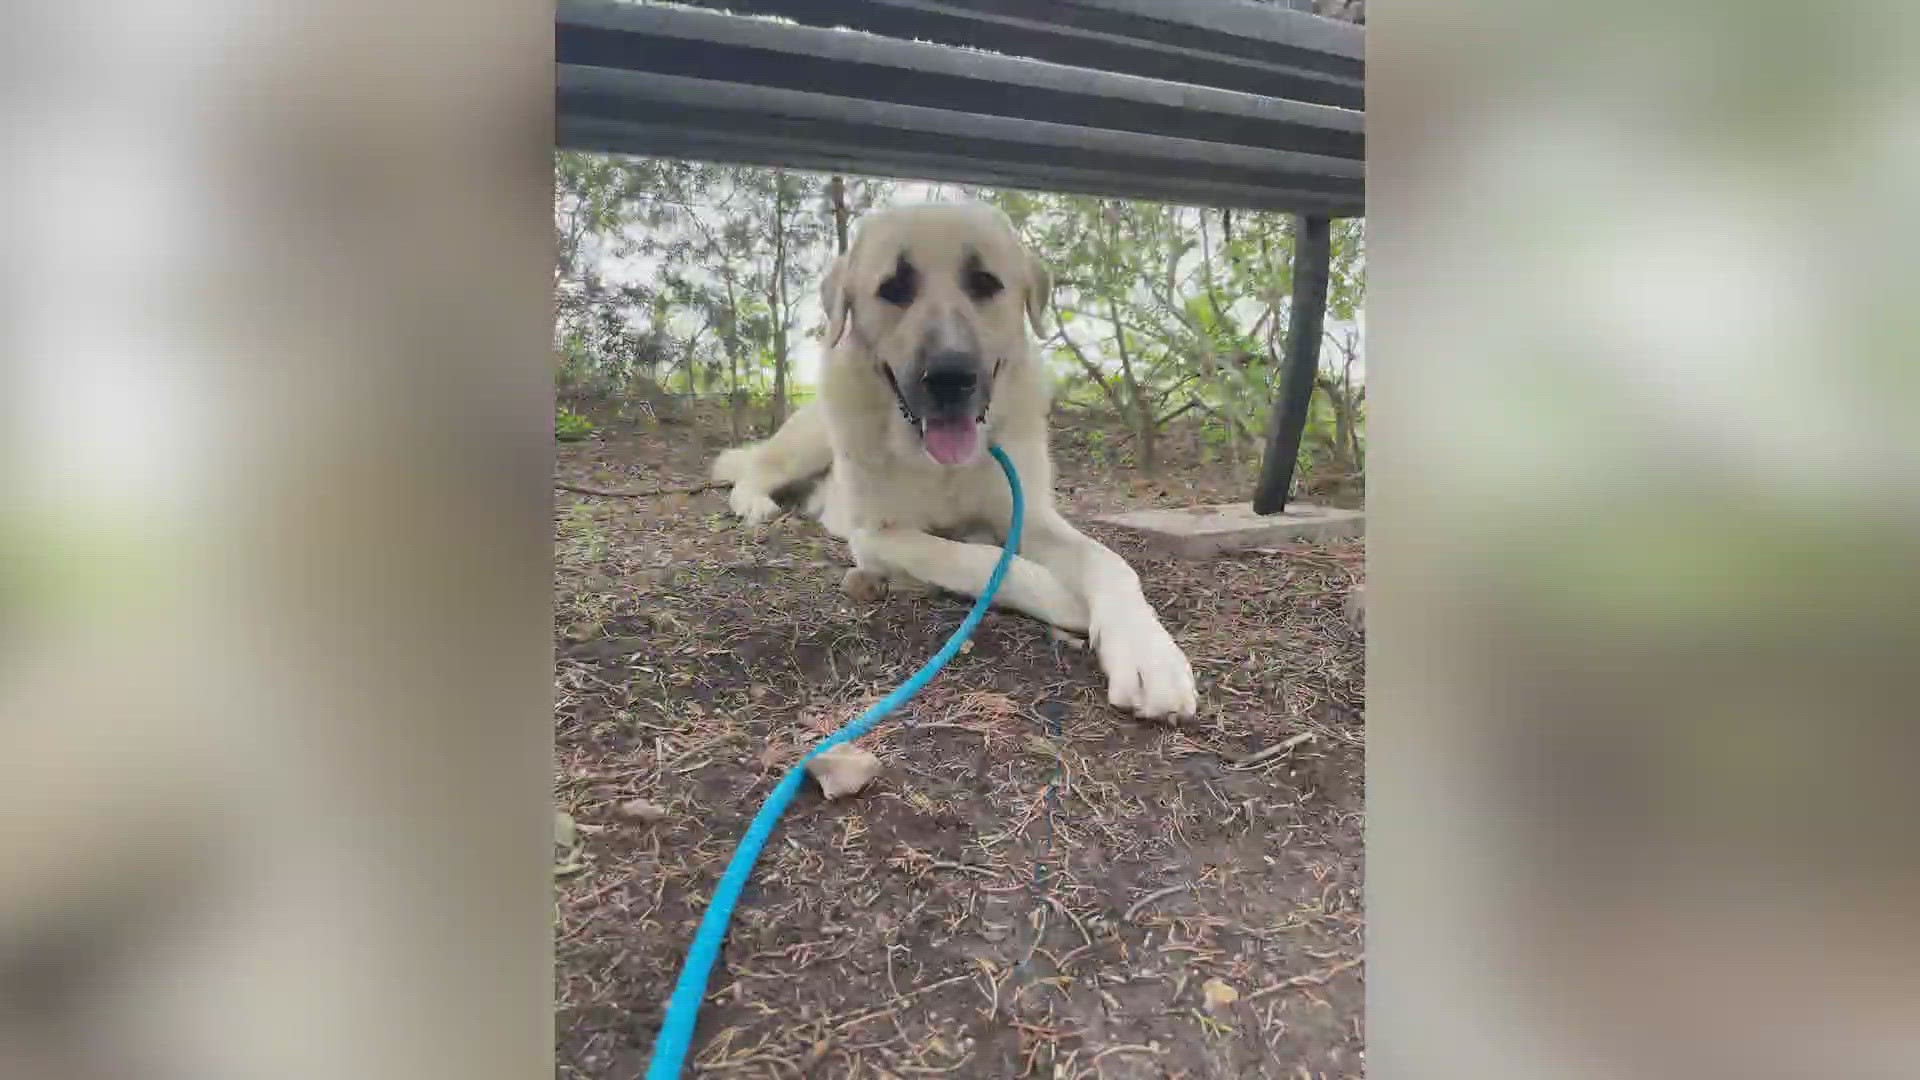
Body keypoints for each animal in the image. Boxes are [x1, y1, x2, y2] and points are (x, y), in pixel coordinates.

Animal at [706, 205, 1198, 718]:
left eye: (985, 282)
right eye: (893, 288)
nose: (949, 378)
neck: (940, 467)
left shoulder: (1029, 515)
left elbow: (1109, 561)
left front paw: (1147, 654)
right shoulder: (879, 535)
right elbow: (981, 559)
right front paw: (1064, 599)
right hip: (811, 440)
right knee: (753, 469)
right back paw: (755, 504)